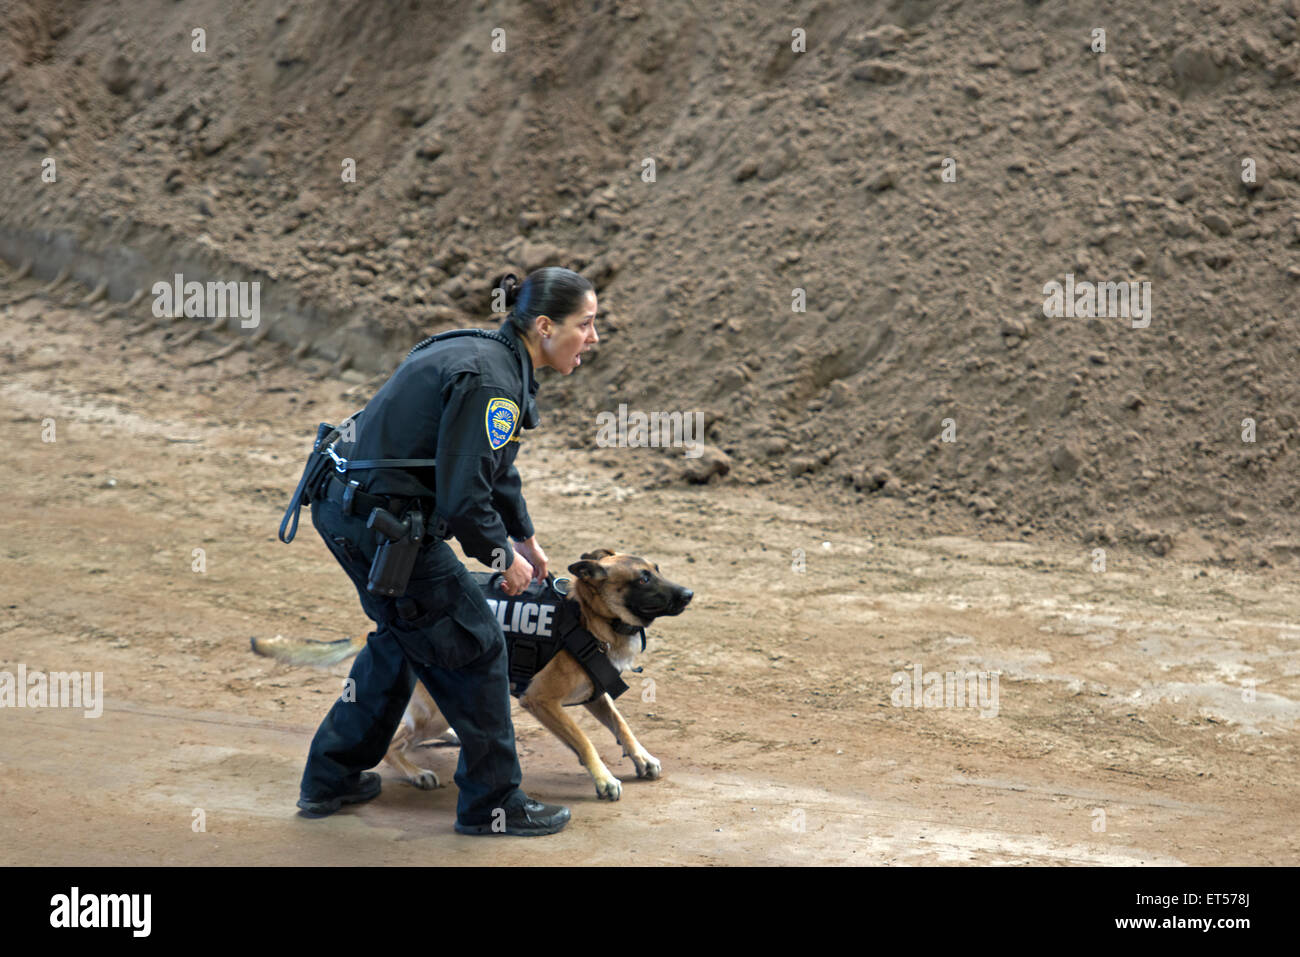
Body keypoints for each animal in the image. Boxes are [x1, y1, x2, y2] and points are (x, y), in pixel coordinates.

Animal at [257, 548, 696, 795]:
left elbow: (622, 725)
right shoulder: (543, 702)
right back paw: (416, 774)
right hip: (431, 714)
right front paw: (603, 779)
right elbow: (585, 741)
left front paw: (641, 757)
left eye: (658, 568)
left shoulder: (595, 694)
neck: (588, 617)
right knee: (392, 744)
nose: (690, 593)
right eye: (643, 578)